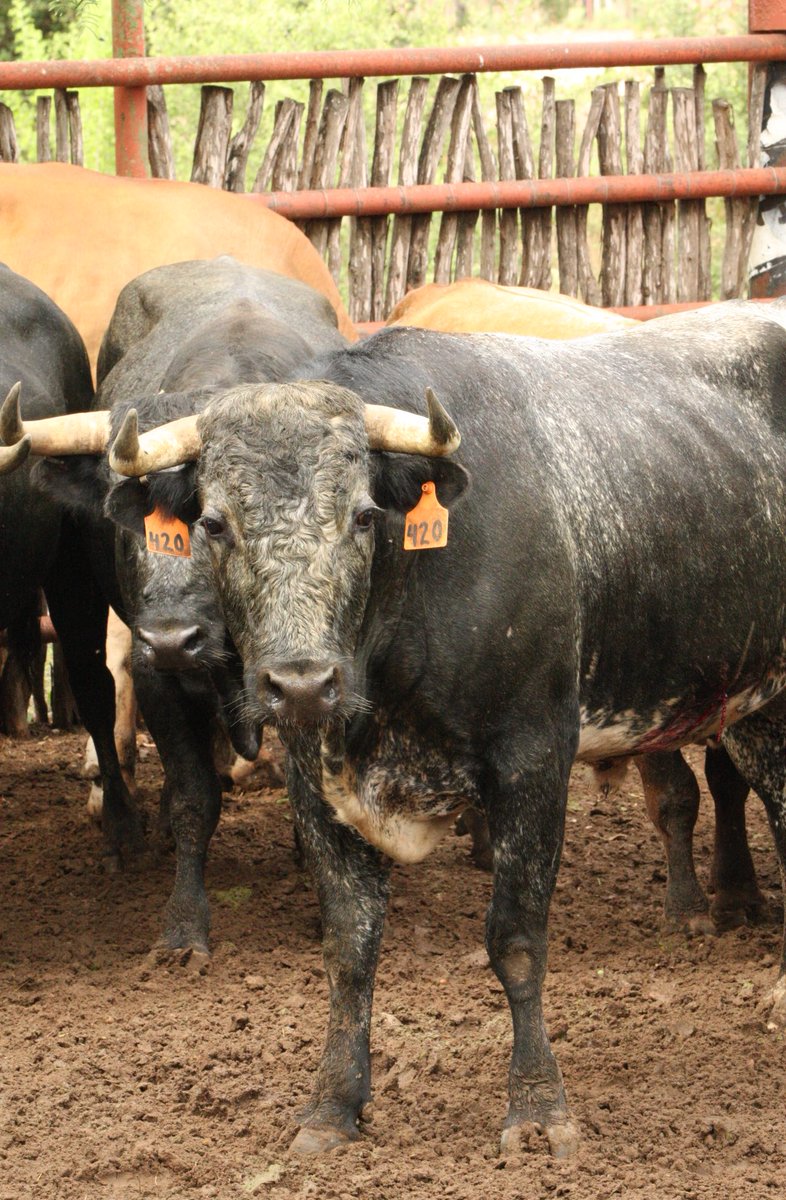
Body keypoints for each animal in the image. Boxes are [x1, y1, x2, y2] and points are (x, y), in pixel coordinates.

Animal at [1, 257, 349, 955]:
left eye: (217, 522)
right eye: (121, 522)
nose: (170, 638)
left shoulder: (311, 669)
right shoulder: (158, 676)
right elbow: (194, 797)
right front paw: (185, 924)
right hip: (76, 594)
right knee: (96, 692)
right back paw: (124, 829)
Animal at [107, 303, 786, 1157]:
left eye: (364, 516)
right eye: (214, 522)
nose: (301, 682)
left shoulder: (533, 759)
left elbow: (517, 942)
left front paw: (539, 1109)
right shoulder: (315, 780)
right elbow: (350, 947)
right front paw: (332, 1106)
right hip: (758, 711)